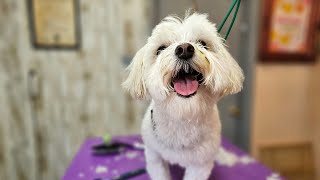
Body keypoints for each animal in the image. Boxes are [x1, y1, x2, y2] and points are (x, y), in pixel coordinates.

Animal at [124, 11, 244, 179]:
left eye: (203, 43)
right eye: (161, 49)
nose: (185, 49)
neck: (182, 116)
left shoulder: (201, 164)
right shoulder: (154, 157)